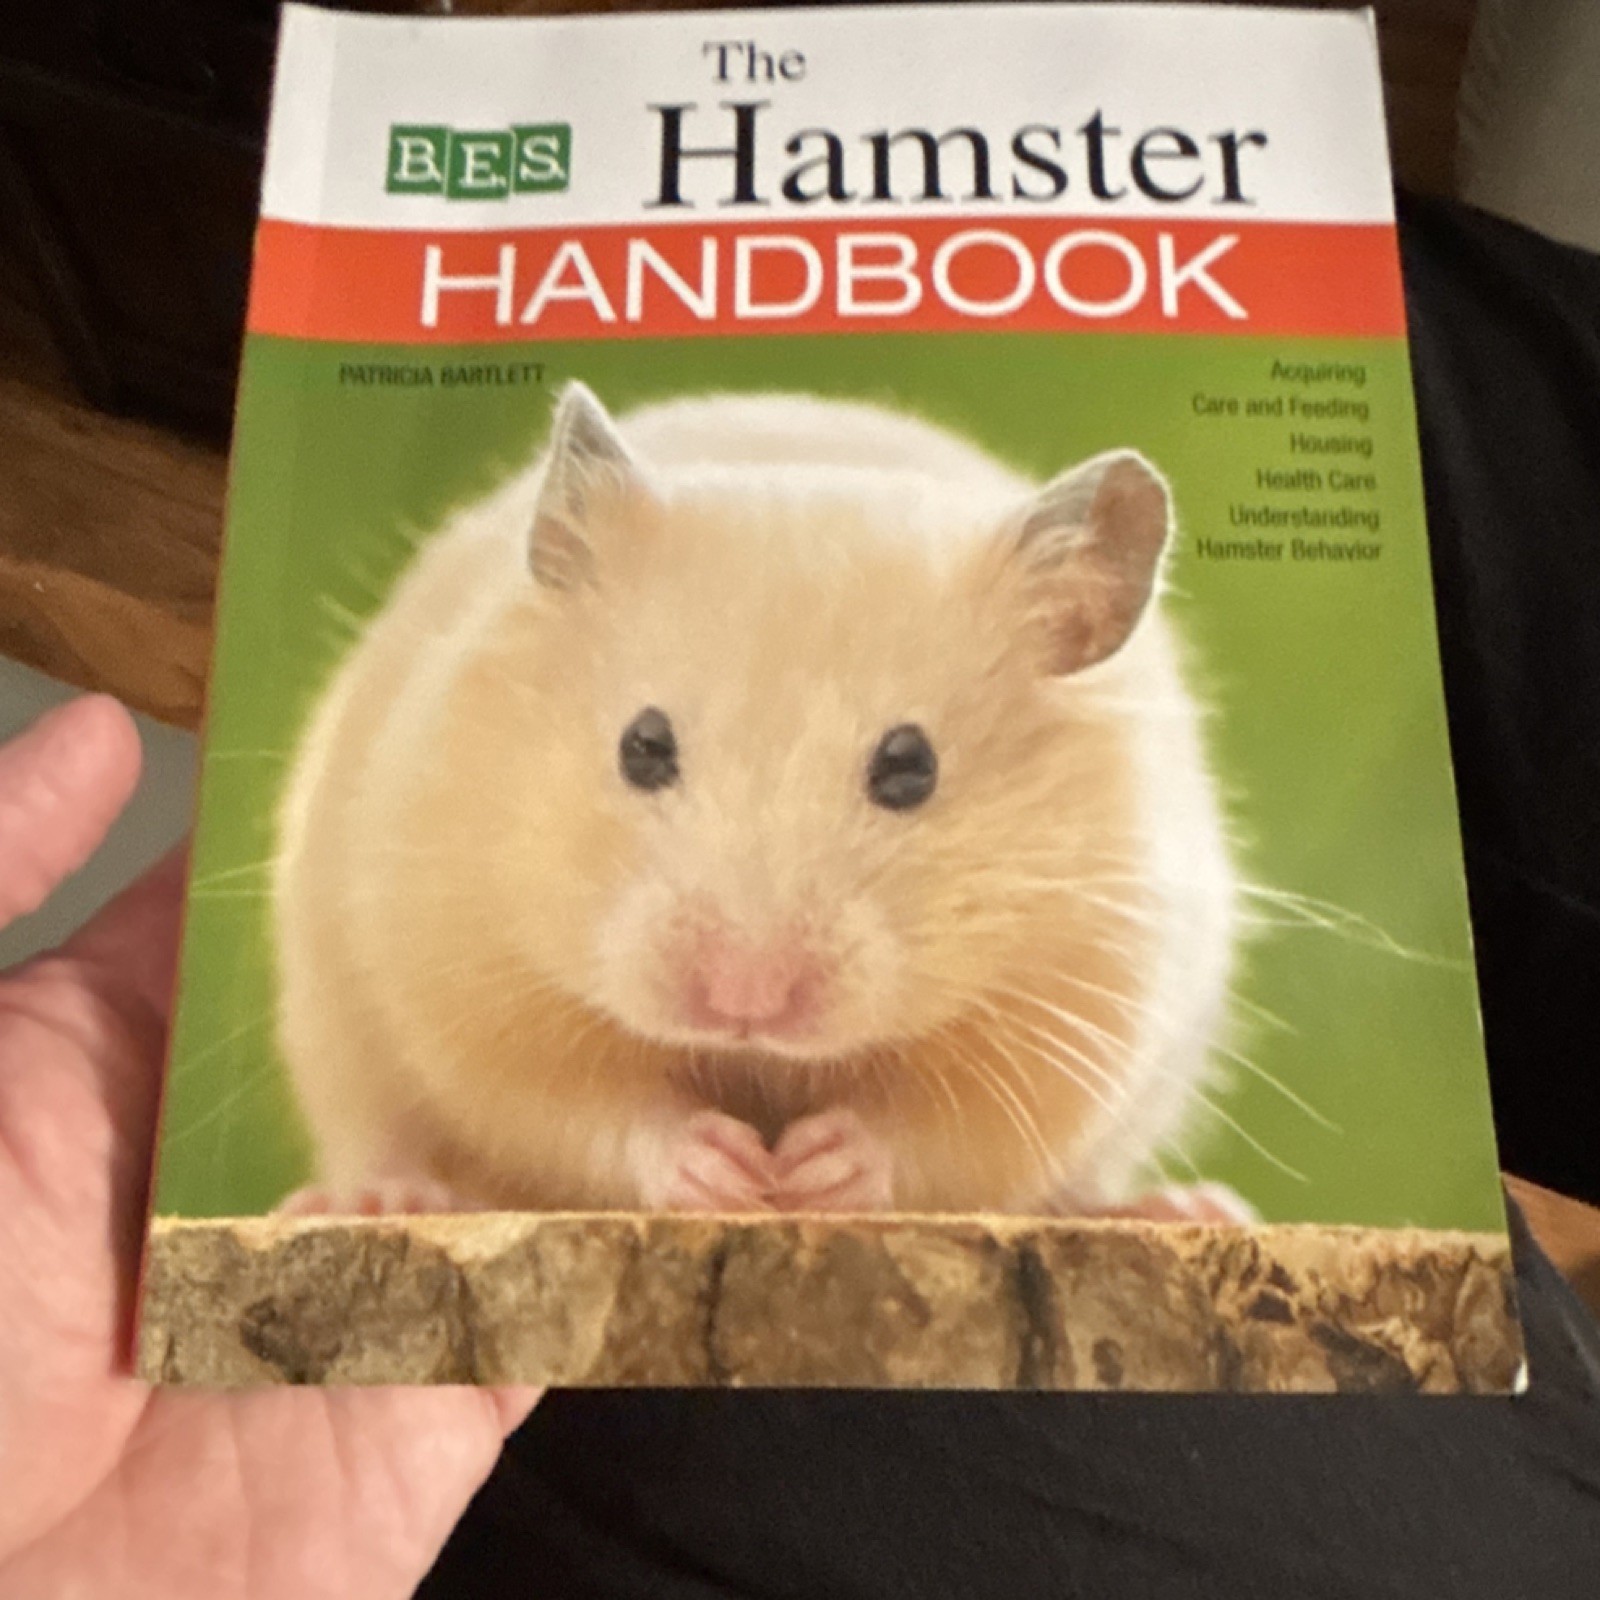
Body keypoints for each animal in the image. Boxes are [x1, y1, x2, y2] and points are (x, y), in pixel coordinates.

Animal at [272, 382, 1238, 1216]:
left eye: (911, 766)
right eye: (642, 746)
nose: (746, 1001)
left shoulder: (1082, 1010)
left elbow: (947, 1137)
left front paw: (814, 1169)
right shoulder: (466, 976)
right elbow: (576, 1107)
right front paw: (726, 1169)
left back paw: (1185, 1206)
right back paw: (378, 1198)